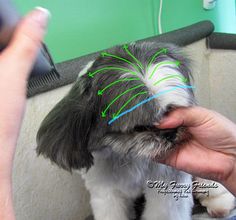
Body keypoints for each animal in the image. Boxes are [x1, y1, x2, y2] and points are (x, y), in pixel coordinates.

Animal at [36, 42, 231, 219]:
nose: (170, 133)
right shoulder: (106, 192)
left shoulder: (166, 185)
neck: (131, 157)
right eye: (139, 127)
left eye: (171, 111)